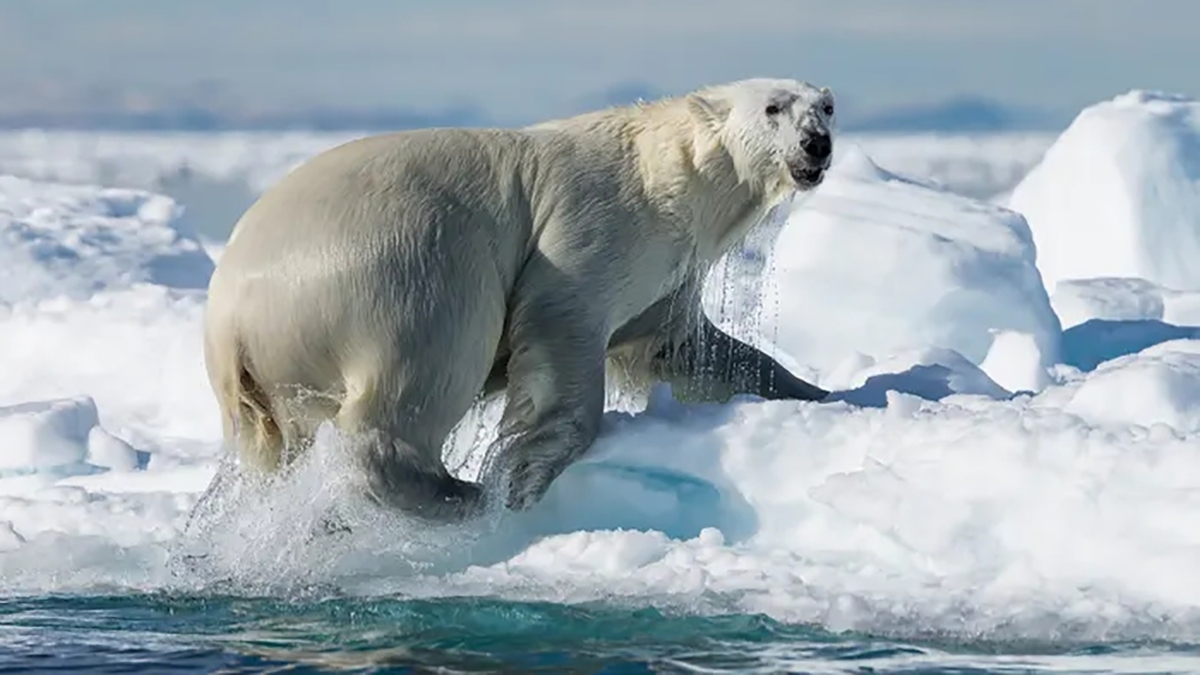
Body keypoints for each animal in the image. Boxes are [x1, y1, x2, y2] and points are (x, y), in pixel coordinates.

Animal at [204, 77, 835, 521]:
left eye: (825, 106)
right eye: (774, 107)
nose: (817, 144)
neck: (663, 177)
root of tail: (232, 319)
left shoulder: (668, 274)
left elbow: (683, 350)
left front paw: (819, 393)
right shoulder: (590, 228)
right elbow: (564, 326)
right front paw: (523, 473)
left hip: (272, 378)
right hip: (401, 264)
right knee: (423, 368)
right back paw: (458, 495)